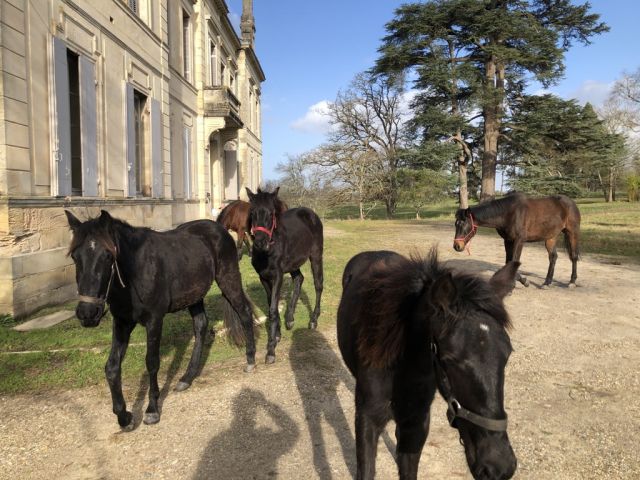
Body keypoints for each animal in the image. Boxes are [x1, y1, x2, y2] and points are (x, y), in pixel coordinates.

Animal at [64, 210, 255, 428]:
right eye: (75, 256)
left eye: (107, 255)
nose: (87, 313)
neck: (136, 271)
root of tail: (220, 229)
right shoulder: (122, 322)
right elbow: (111, 367)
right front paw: (124, 416)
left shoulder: (154, 320)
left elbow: (152, 362)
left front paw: (152, 410)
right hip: (194, 295)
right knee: (201, 325)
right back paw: (186, 378)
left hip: (228, 279)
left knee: (244, 313)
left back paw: (251, 360)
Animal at [246, 188, 324, 364]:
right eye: (252, 212)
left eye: (271, 213)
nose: (260, 242)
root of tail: (310, 213)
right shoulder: (264, 277)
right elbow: (271, 306)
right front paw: (277, 335)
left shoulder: (278, 276)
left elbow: (273, 310)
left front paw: (271, 350)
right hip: (293, 263)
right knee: (299, 279)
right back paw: (290, 319)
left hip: (316, 256)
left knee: (318, 285)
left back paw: (313, 320)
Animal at [452, 192, 584, 288]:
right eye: (455, 224)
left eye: (464, 224)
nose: (457, 246)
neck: (509, 213)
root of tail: (571, 203)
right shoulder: (508, 240)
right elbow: (508, 261)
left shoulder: (519, 240)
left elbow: (514, 260)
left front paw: (523, 281)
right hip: (550, 237)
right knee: (553, 257)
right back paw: (547, 282)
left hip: (572, 232)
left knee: (573, 256)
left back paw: (572, 282)